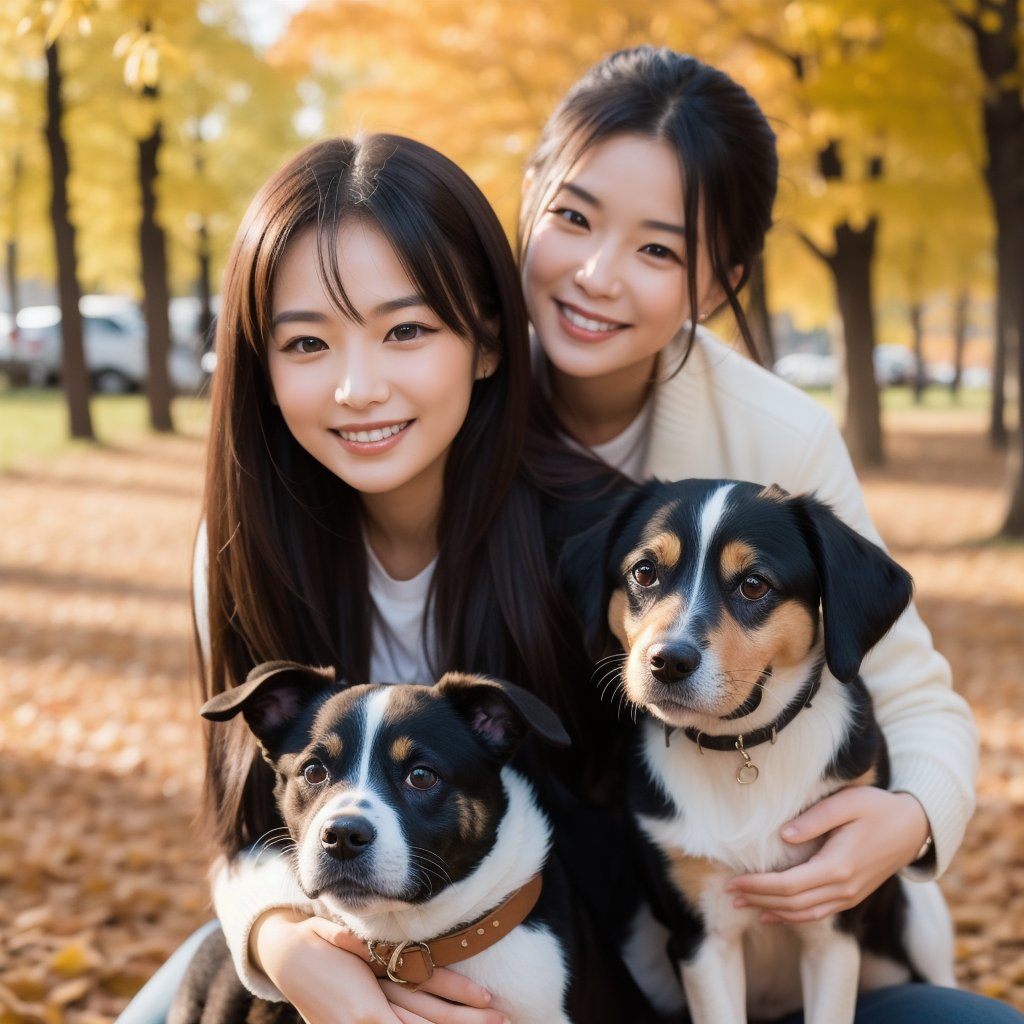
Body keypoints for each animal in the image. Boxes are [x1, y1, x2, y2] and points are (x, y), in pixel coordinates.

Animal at [557, 479, 954, 1024]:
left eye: (754, 584)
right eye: (644, 572)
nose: (668, 661)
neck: (742, 746)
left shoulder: (832, 929)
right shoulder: (702, 940)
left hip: (922, 918)